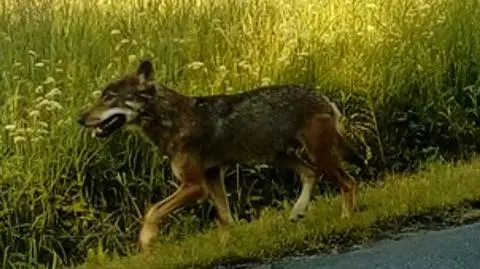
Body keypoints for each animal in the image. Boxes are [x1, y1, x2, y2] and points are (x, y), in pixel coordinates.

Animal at [77, 59, 366, 250]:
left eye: (110, 98)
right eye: (102, 97)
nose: (80, 119)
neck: (172, 121)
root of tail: (322, 96)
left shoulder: (194, 186)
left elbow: (151, 211)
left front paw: (146, 242)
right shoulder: (212, 177)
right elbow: (224, 219)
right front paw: (228, 247)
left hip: (318, 156)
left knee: (348, 182)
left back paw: (346, 218)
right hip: (281, 157)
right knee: (311, 174)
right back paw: (298, 211)